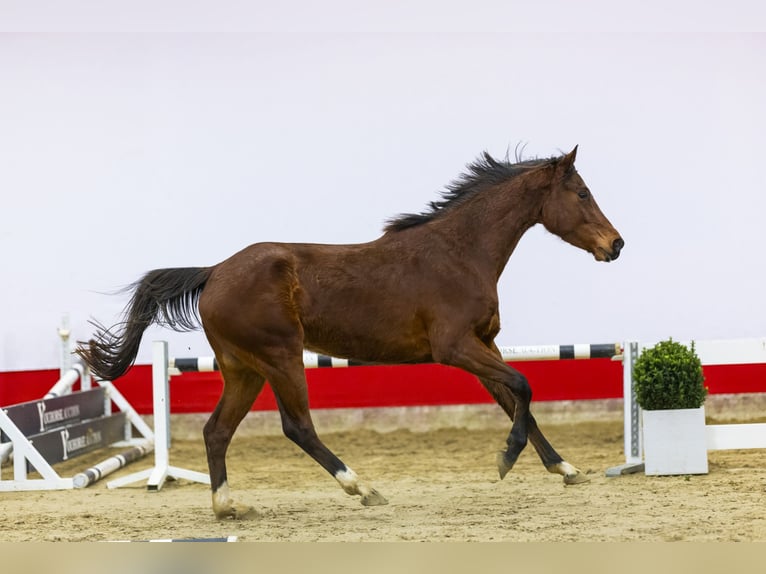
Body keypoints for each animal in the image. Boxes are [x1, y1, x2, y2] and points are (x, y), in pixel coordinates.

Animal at [76, 145, 624, 520]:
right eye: (581, 193)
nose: (616, 245)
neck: (461, 252)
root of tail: (212, 272)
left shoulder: (483, 343)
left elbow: (516, 401)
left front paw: (564, 469)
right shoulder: (456, 347)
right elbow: (524, 387)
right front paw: (507, 459)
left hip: (243, 370)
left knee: (216, 431)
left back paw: (228, 508)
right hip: (280, 357)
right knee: (297, 427)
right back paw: (362, 488)